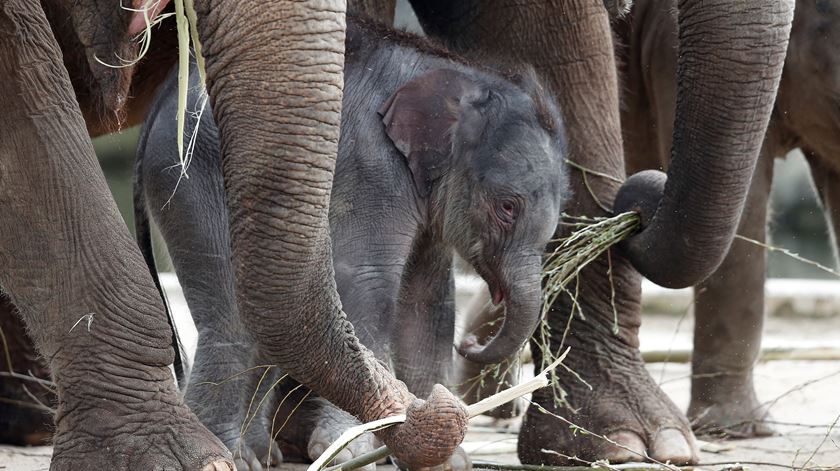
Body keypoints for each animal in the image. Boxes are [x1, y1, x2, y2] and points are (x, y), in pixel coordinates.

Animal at [138, 18, 568, 471]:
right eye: (507, 208)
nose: (469, 345)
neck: (459, 73)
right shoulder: (374, 169)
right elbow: (366, 281)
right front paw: (349, 449)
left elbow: (428, 301)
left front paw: (447, 460)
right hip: (190, 177)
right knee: (232, 312)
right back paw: (231, 457)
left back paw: (259, 454)